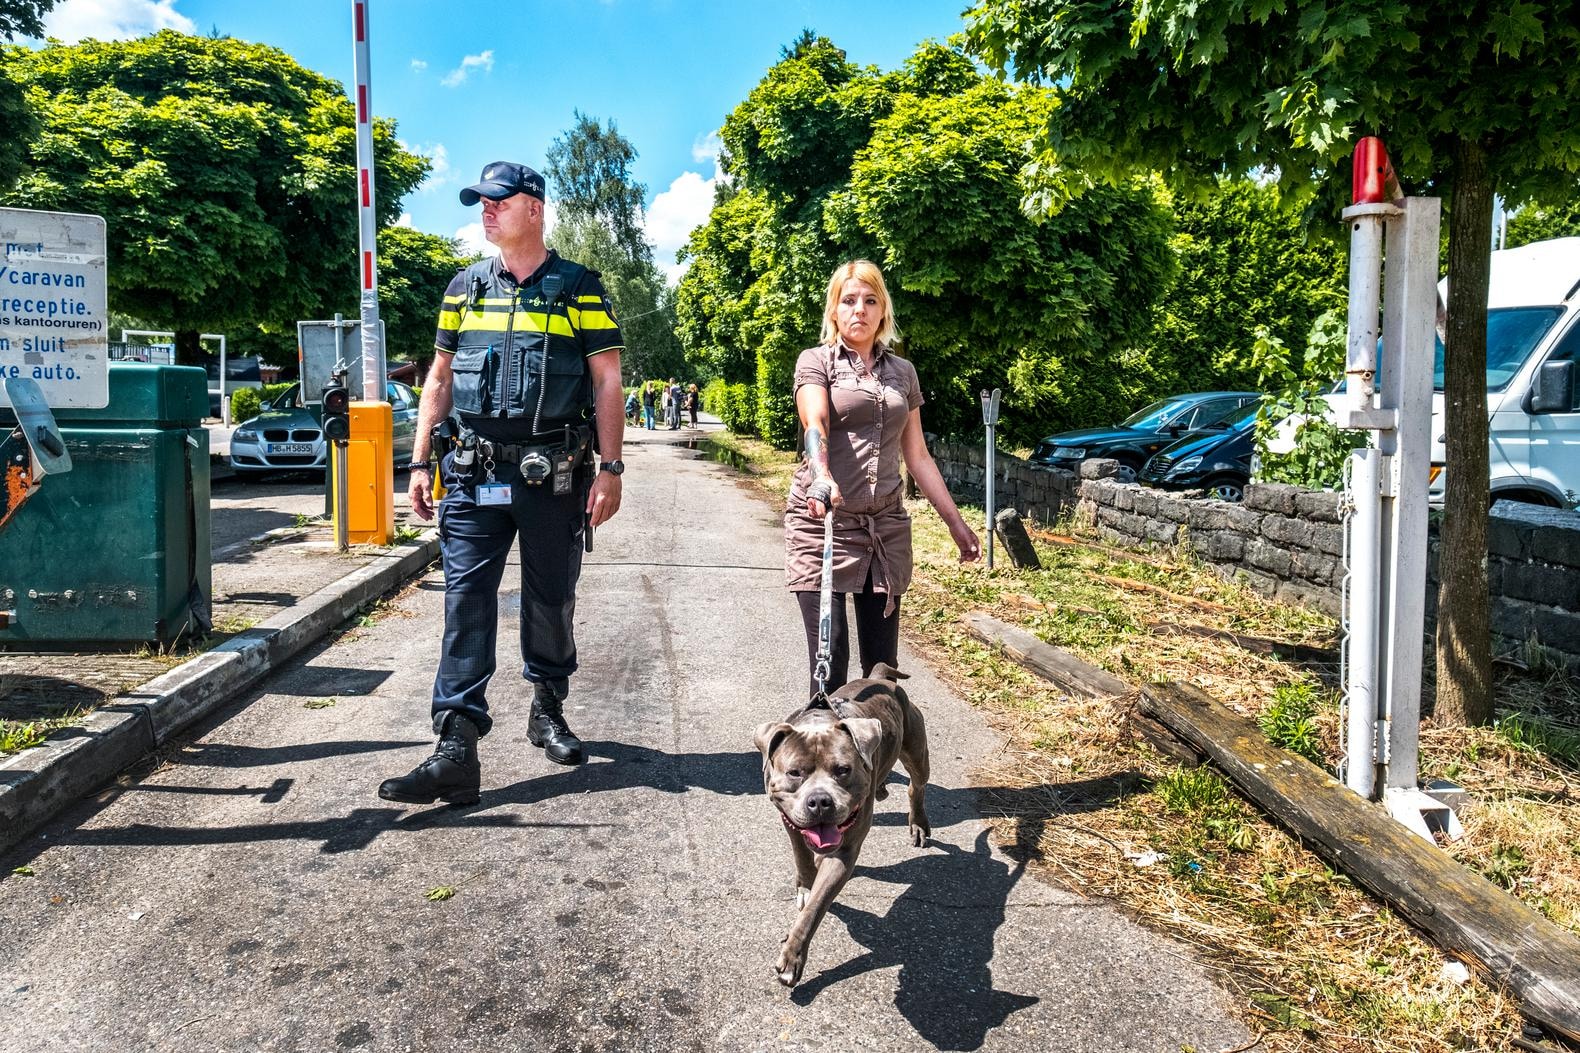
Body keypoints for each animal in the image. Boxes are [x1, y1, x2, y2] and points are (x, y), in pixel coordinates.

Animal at [752, 664, 922, 986]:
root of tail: (880, 678)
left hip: (916, 750)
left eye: (843, 770)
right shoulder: (790, 822)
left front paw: (792, 958)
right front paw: (806, 885)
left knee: (916, 785)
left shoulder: (844, 852)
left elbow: (817, 906)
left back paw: (918, 822)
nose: (820, 801)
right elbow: (802, 858)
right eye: (794, 773)